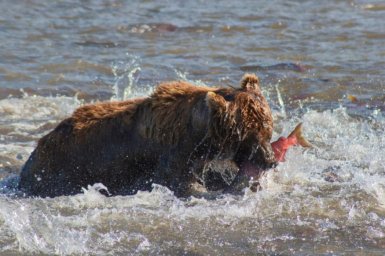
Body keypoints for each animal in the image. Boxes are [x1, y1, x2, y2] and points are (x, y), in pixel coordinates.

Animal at [18, 73, 276, 197]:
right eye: (248, 133)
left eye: (268, 127)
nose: (271, 159)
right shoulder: (174, 156)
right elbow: (185, 185)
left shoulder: (206, 160)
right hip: (62, 171)